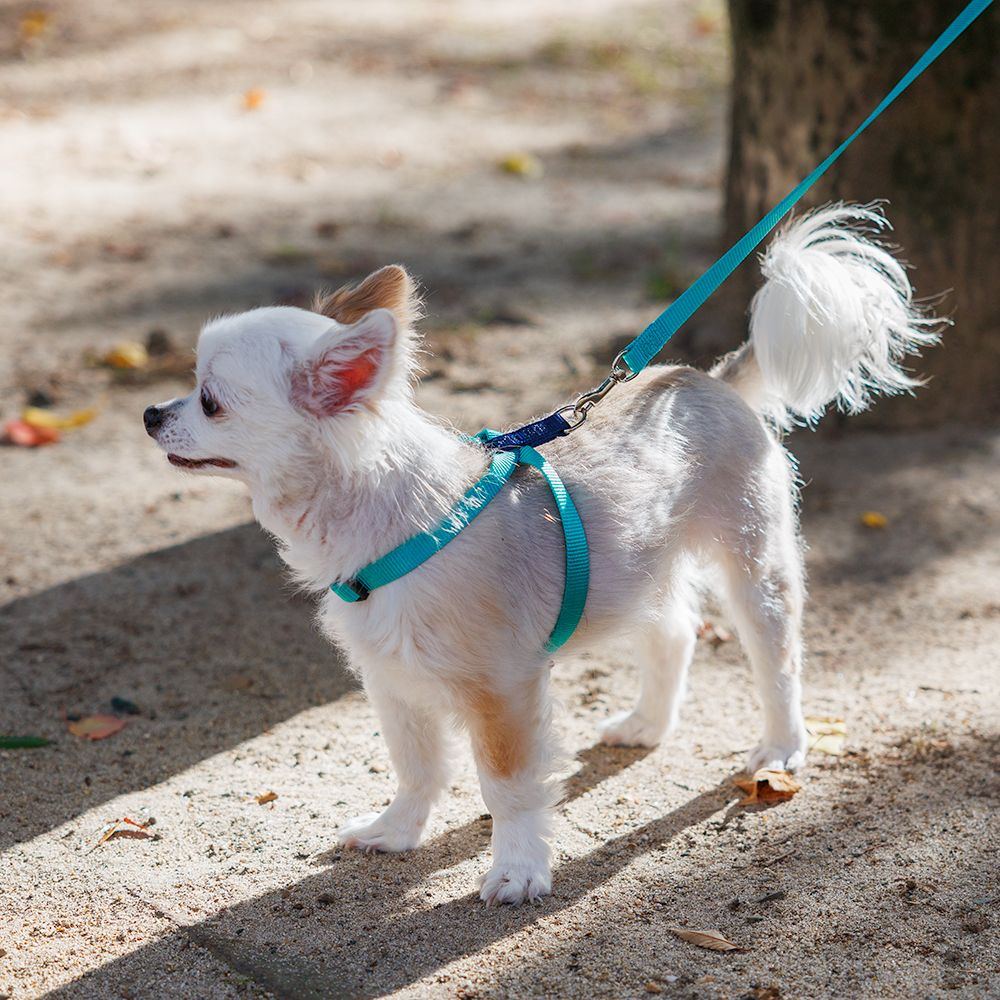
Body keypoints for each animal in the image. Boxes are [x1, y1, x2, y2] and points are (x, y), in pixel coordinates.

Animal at [146, 205, 936, 908]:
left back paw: (779, 750)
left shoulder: (502, 690)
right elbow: (417, 766)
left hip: (755, 573)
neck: (398, 520)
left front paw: (518, 871)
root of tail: (709, 379)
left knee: (778, 667)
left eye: (210, 400)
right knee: (674, 634)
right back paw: (647, 724)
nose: (151, 414)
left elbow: (508, 787)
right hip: (638, 569)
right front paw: (397, 831)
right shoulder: (392, 679)